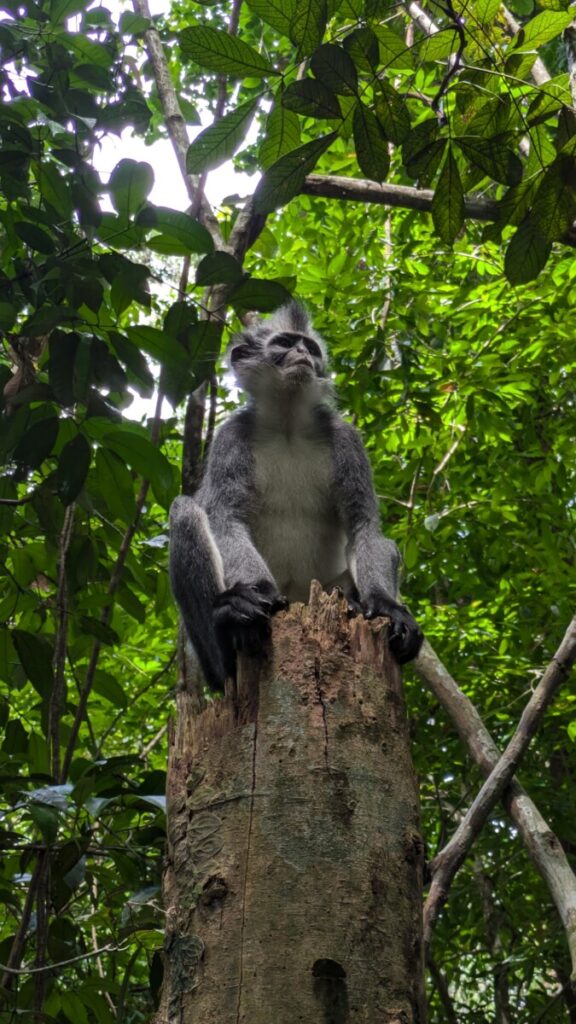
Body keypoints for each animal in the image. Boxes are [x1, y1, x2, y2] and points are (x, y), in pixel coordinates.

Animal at [169, 301, 422, 691]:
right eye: (286, 343)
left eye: (311, 348)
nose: (303, 354)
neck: (287, 425)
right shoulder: (232, 435)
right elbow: (227, 520)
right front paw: (254, 593)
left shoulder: (345, 437)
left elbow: (364, 527)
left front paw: (387, 608)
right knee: (184, 511)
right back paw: (230, 624)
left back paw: (353, 605)